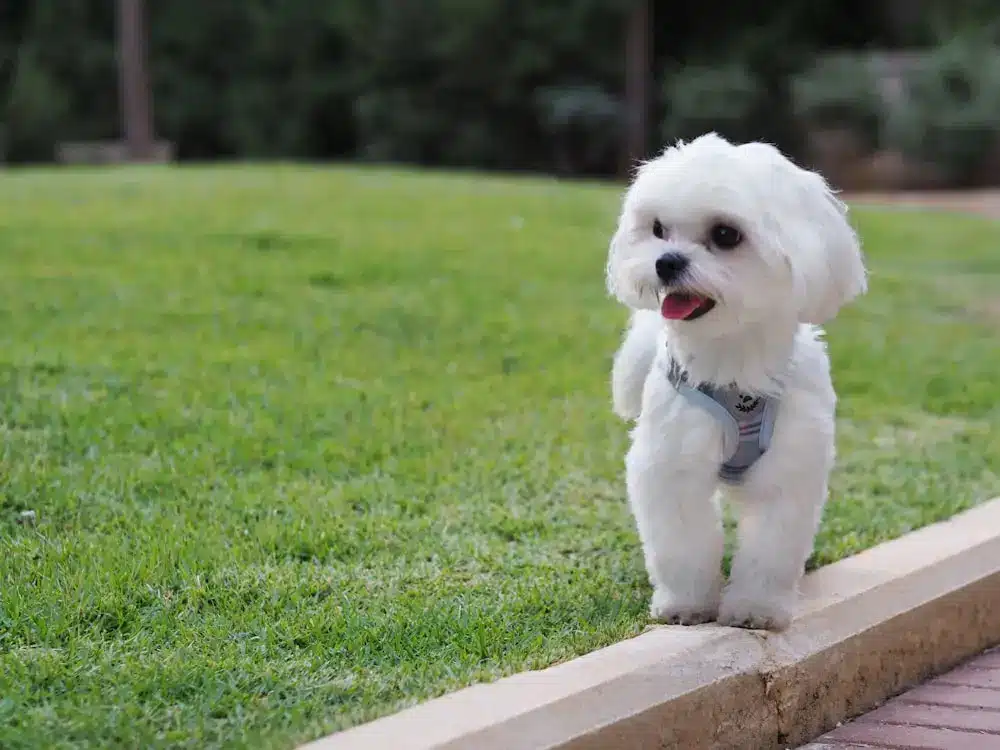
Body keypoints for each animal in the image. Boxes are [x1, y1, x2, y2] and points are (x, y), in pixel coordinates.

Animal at [604, 135, 864, 636]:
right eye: (658, 228)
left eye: (726, 235)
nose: (666, 262)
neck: (733, 362)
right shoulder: (672, 463)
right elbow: (682, 542)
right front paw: (686, 605)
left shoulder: (789, 469)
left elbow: (770, 550)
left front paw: (755, 609)